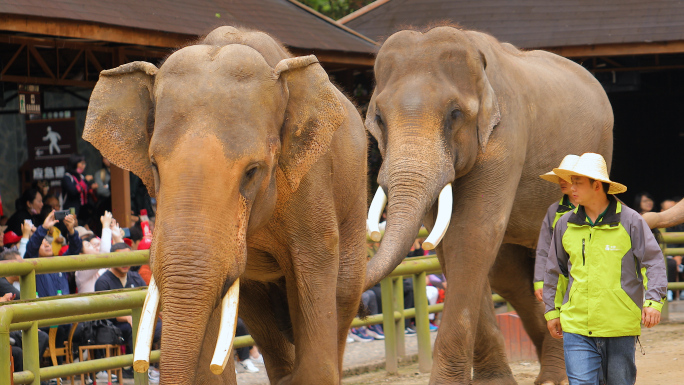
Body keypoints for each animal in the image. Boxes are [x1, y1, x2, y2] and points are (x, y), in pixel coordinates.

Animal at [364, 25, 616, 382]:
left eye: (454, 114)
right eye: (380, 119)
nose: (372, 236)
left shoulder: (506, 134)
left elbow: (473, 233)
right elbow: (450, 242)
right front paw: (494, 381)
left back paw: (555, 378)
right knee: (506, 274)